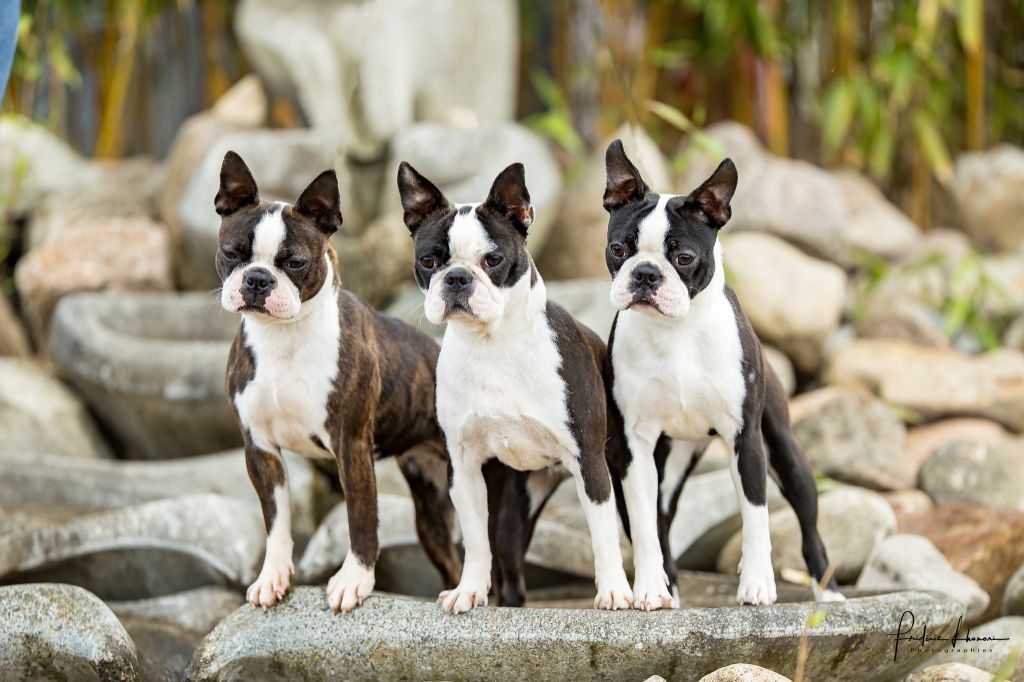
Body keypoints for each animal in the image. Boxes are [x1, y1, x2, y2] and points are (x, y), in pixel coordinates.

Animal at [397, 159, 630, 610]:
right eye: (429, 261)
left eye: (493, 260)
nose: (457, 278)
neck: (493, 346)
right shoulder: (463, 469)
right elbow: (474, 541)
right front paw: (468, 591)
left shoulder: (591, 464)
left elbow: (602, 536)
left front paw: (613, 591)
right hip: (512, 504)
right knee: (507, 561)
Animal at [598, 139, 839, 606]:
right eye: (618, 250)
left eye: (684, 257)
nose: (646, 274)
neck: (676, 332)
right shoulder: (633, 447)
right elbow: (644, 527)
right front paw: (650, 588)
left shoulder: (747, 440)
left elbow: (756, 516)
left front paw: (757, 584)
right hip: (666, 464)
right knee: (659, 522)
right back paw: (669, 587)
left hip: (786, 452)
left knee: (809, 524)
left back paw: (829, 591)